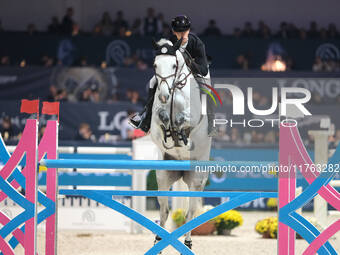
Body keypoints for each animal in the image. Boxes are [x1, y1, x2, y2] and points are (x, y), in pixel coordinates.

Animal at [149, 38, 211, 250]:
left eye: (174, 65)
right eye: (155, 65)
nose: (164, 96)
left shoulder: (193, 117)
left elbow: (182, 120)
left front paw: (180, 133)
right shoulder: (155, 121)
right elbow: (161, 118)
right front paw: (169, 129)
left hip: (197, 179)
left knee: (190, 213)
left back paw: (188, 242)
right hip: (163, 176)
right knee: (164, 210)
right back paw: (159, 241)